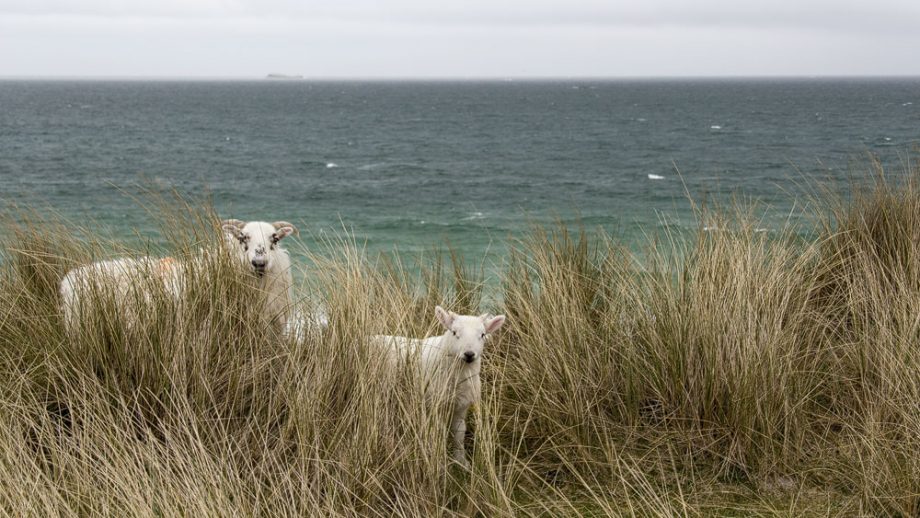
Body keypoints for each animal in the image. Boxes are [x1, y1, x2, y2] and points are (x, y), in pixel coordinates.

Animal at [370, 306, 506, 470]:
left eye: (482, 335)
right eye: (454, 332)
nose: (469, 354)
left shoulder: (461, 406)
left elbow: (459, 432)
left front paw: (461, 461)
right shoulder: (435, 406)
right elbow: (439, 431)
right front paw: (441, 462)